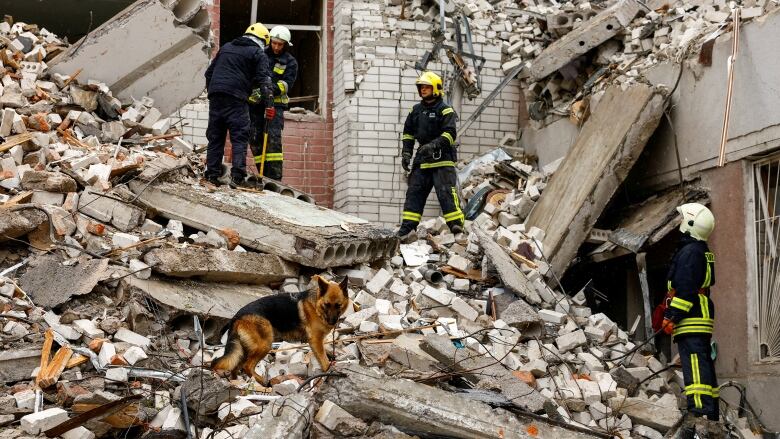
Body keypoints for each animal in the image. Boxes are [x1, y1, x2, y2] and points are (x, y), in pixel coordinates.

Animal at [212, 276, 348, 382]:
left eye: (338, 305)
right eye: (326, 305)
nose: (332, 322)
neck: (316, 306)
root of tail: (237, 316)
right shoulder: (316, 341)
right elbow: (324, 360)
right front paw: (329, 371)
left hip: (244, 350)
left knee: (236, 367)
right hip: (264, 345)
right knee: (247, 366)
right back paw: (263, 382)